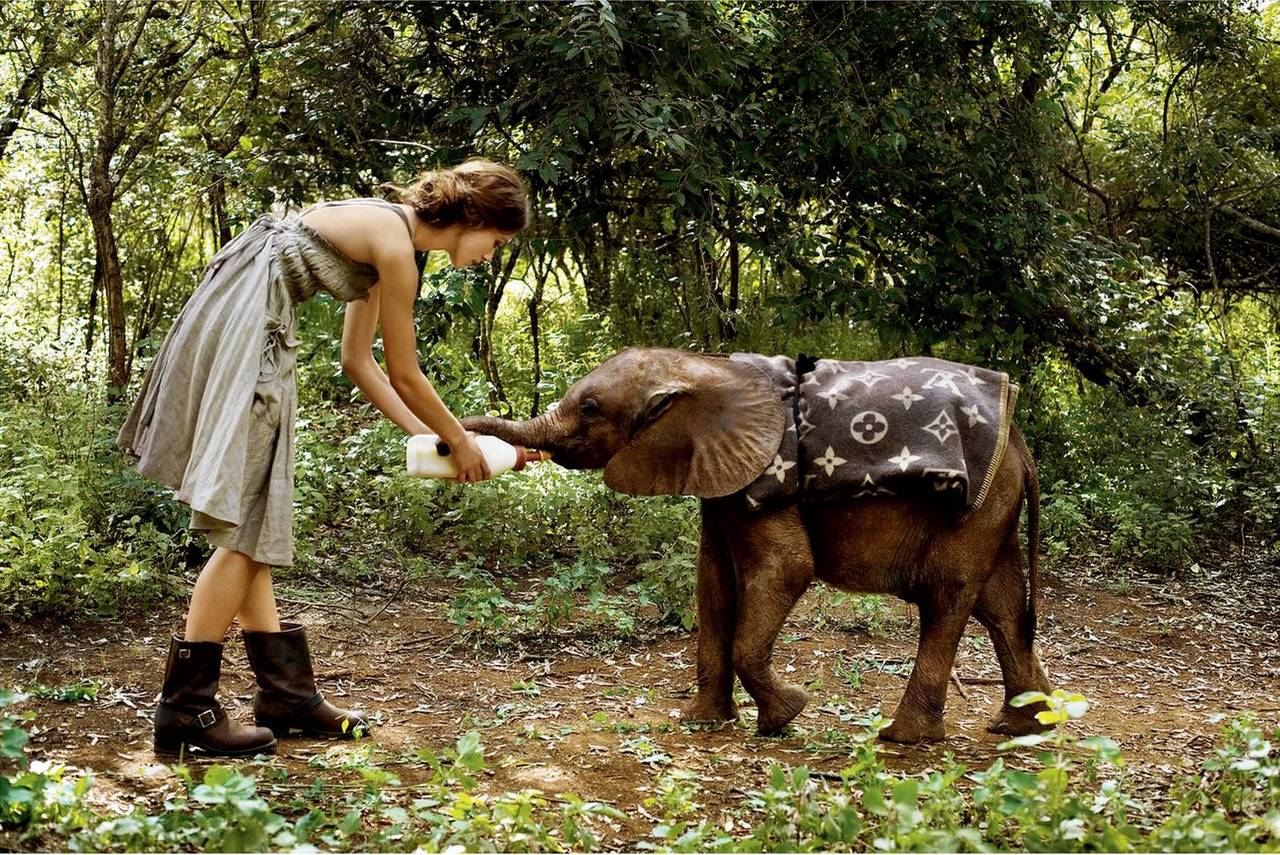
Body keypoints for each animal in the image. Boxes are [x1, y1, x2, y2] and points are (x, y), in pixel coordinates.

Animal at [463, 348, 1049, 742]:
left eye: (589, 408)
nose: (462, 441)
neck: (701, 366)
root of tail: (1020, 443)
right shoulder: (719, 472)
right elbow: (713, 581)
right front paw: (702, 722)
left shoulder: (764, 476)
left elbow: (785, 568)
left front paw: (787, 714)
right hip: (994, 507)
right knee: (1000, 605)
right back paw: (1019, 725)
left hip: (974, 508)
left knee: (946, 597)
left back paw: (903, 737)